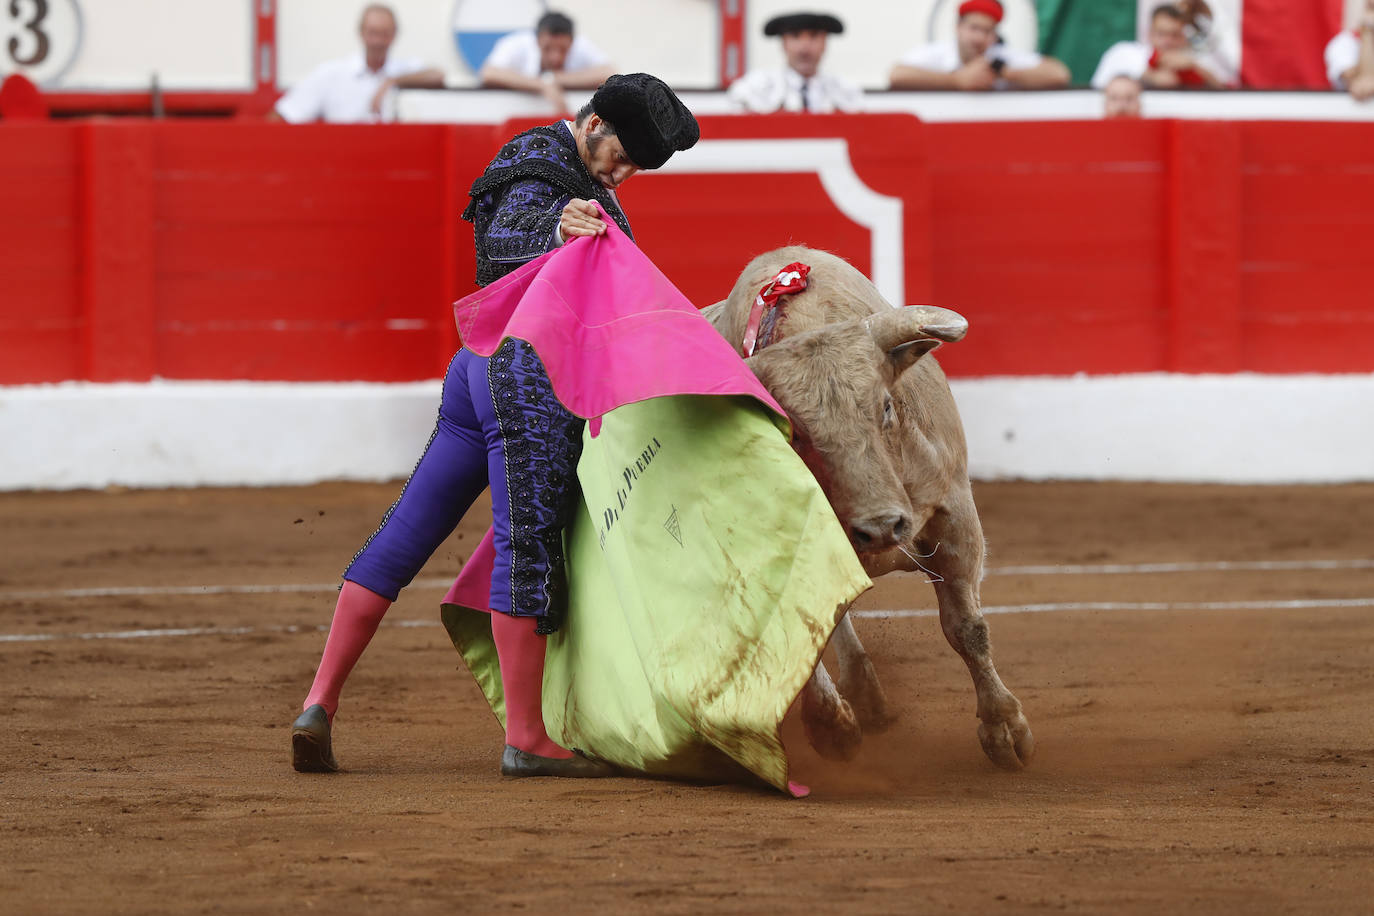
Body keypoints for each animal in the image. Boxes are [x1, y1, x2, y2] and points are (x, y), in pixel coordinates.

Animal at [703, 247, 1033, 769]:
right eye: (794, 431)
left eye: (886, 406)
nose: (881, 528)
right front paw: (831, 726)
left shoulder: (956, 512)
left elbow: (966, 627)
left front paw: (1004, 727)